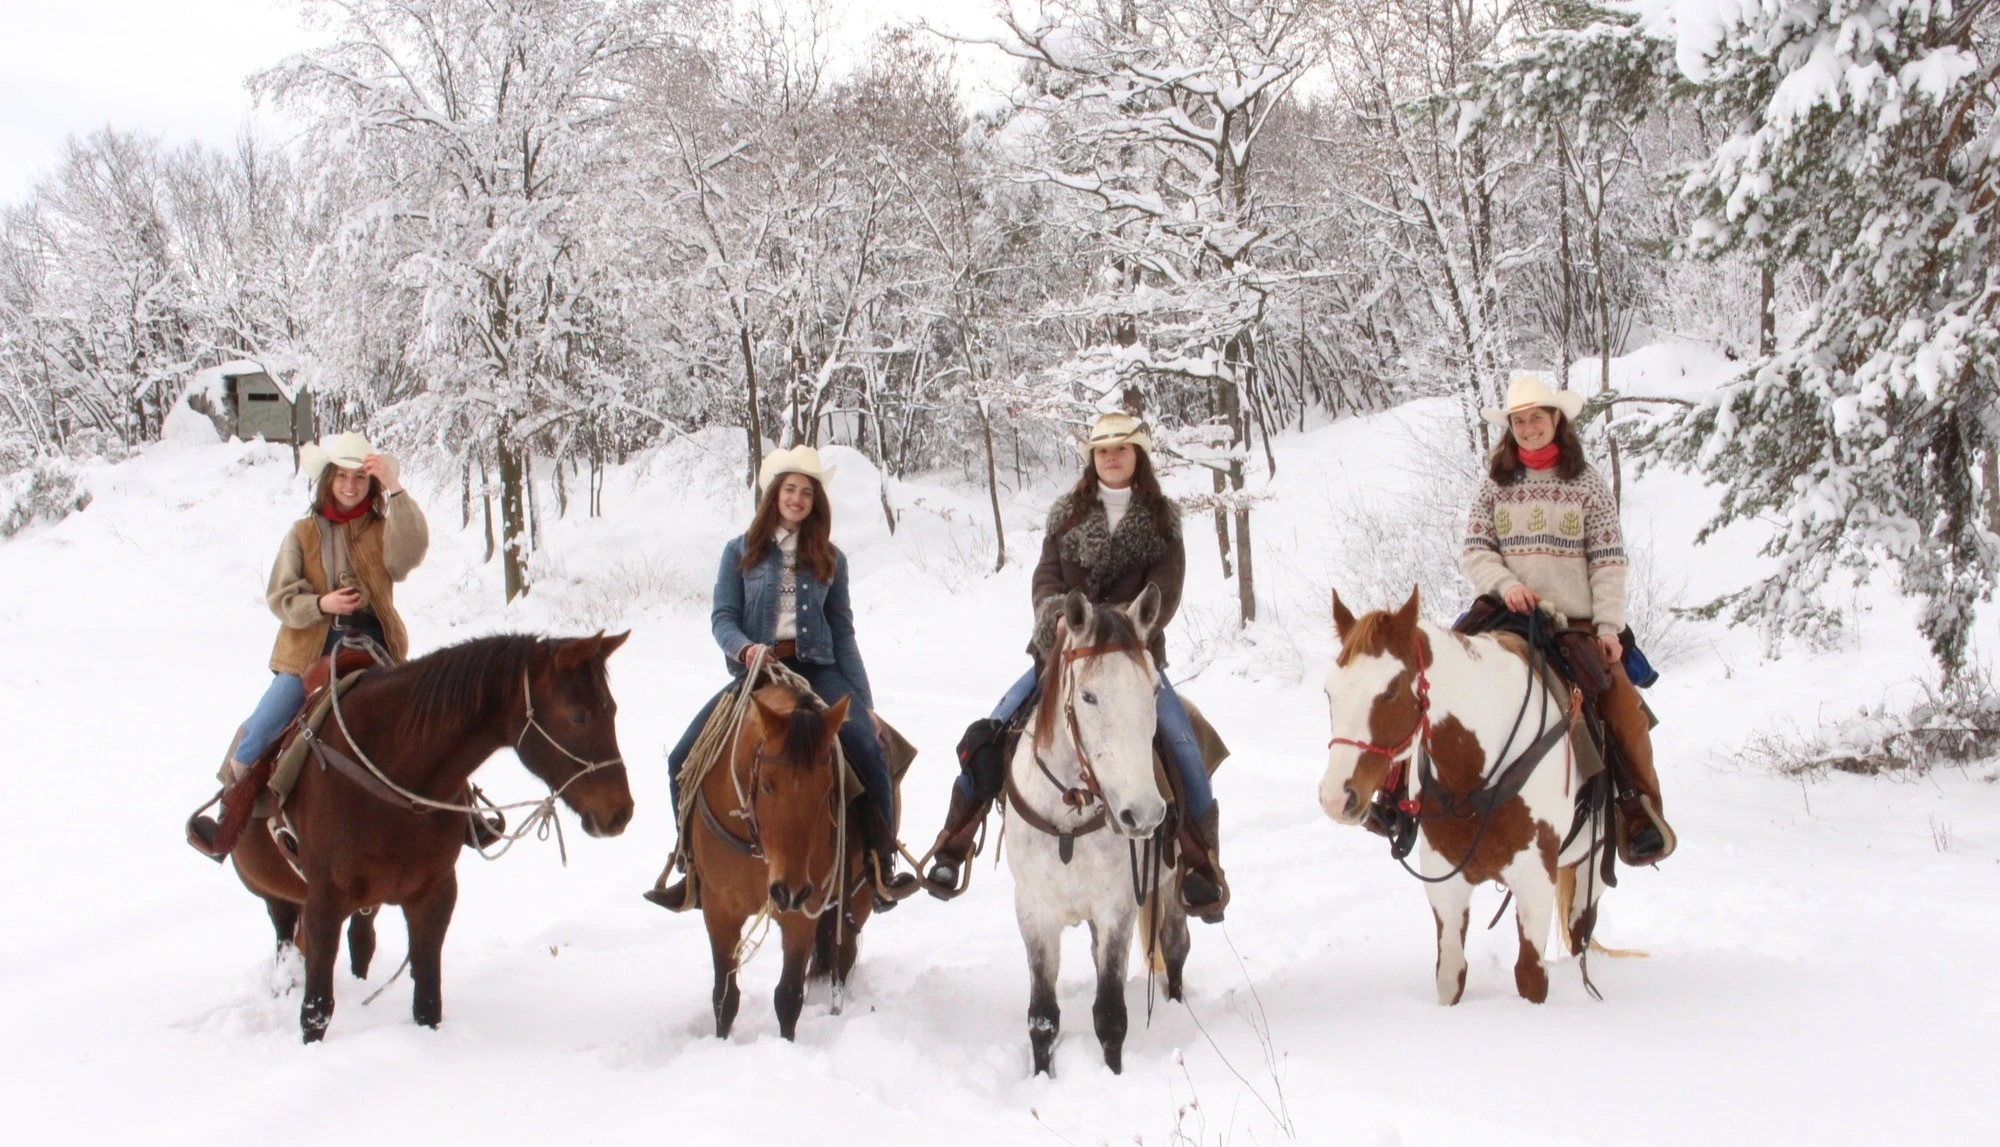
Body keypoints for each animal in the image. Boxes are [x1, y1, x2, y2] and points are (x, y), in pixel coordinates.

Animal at [233, 635, 640, 1047]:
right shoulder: (324, 901)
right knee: (286, 941)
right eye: (578, 716)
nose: (620, 812)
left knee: (361, 943)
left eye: (612, 710)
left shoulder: (434, 894)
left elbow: (427, 998)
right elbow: (316, 1008)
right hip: (279, 898)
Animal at [688, 679, 876, 1047]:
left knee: (842, 960)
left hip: (856, 898)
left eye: (827, 790)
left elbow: (788, 996)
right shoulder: (718, 910)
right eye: (766, 784)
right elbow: (724, 996)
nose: (788, 890)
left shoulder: (802, 914)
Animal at [1008, 591, 1176, 1079]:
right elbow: (1043, 1017)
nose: (1143, 814)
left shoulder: (1116, 908)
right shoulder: (1034, 912)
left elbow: (1111, 1014)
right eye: (1088, 695)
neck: (1070, 812)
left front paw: (1113, 1078)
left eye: (1154, 690)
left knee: (1176, 947)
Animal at [1320, 591, 1616, 1007]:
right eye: (1330, 692)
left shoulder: (1535, 878)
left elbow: (1530, 978)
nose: (1335, 797)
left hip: (1594, 862)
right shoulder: (1444, 879)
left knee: (1580, 929)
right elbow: (1451, 976)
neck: (1474, 771)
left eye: (1391, 690)